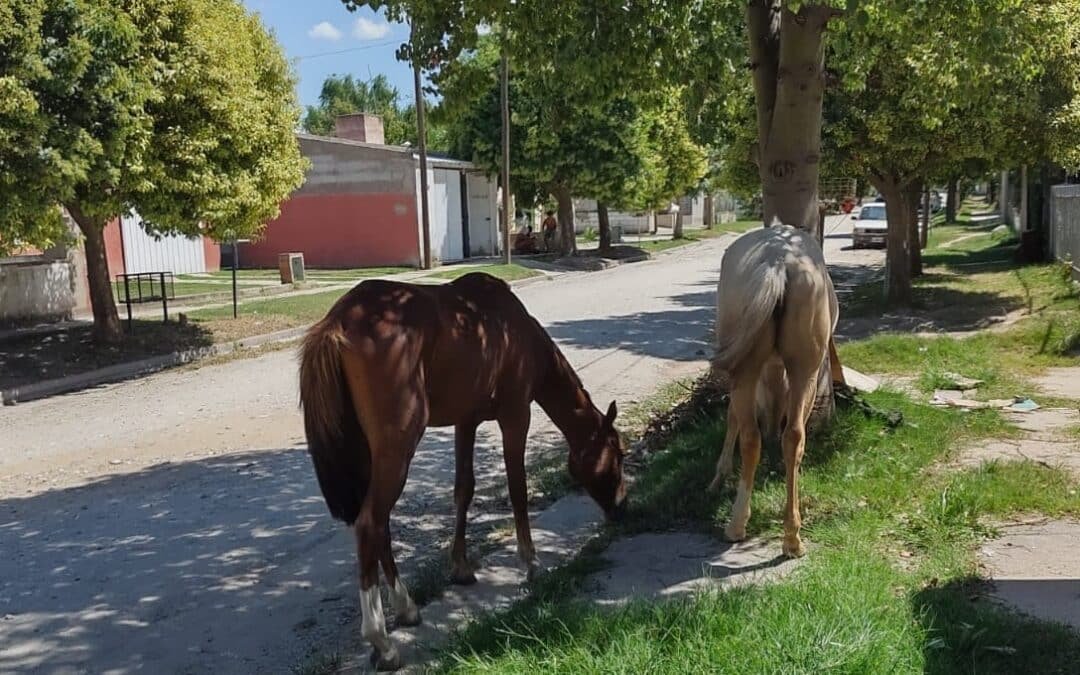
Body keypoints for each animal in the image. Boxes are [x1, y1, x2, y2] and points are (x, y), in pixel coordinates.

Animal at [298, 271, 627, 671]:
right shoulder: (516, 415)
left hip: (370, 452)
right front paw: (532, 563)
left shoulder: (466, 421)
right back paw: (383, 642)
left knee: (379, 524)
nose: (622, 507)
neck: (516, 330)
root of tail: (338, 322)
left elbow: (464, 489)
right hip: (399, 443)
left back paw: (406, 608)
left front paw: (461, 568)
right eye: (619, 453)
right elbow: (517, 488)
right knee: (369, 523)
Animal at [708, 223, 839, 559]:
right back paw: (788, 535)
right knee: (790, 435)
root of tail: (778, 260)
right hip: (802, 368)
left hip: (750, 367)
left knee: (757, 435)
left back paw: (743, 525)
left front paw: (721, 475)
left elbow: (739, 416)